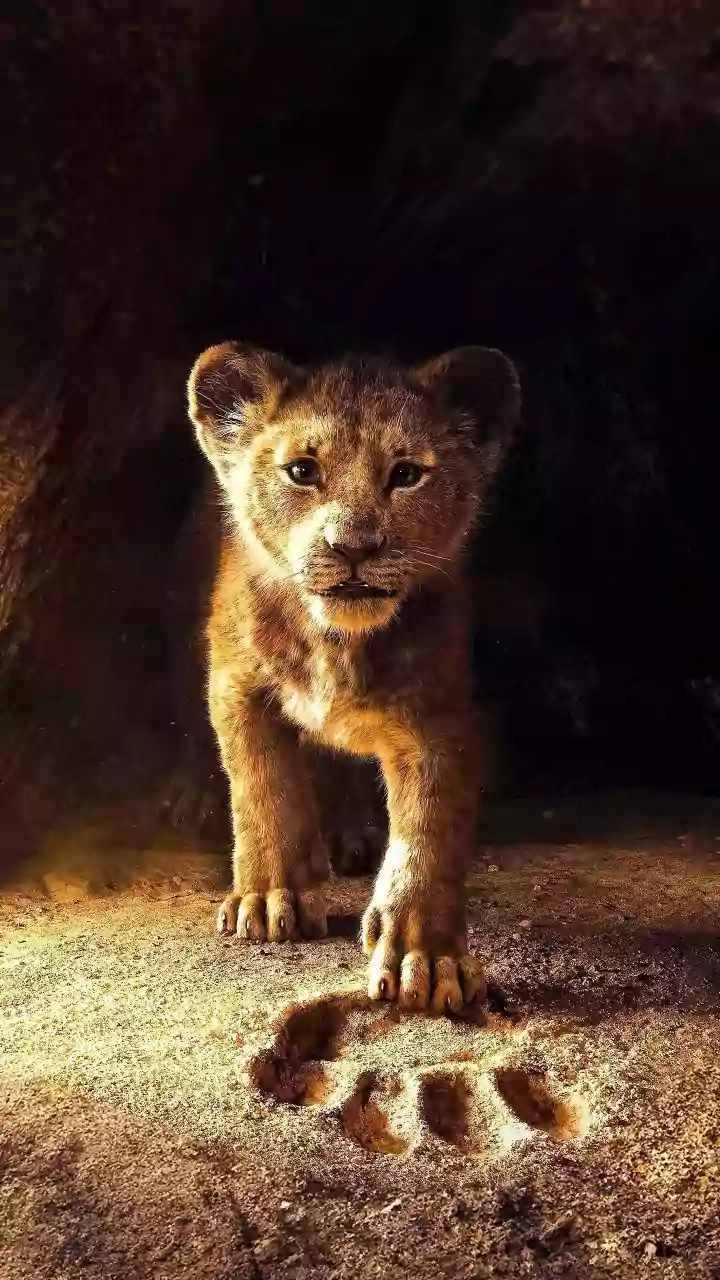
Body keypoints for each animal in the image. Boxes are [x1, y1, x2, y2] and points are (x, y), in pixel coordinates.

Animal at [187, 342, 521, 1013]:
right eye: (301, 471)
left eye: (407, 474)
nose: (354, 546)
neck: (336, 643)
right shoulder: (236, 683)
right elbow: (264, 787)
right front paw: (270, 897)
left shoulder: (438, 715)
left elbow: (429, 831)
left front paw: (427, 957)